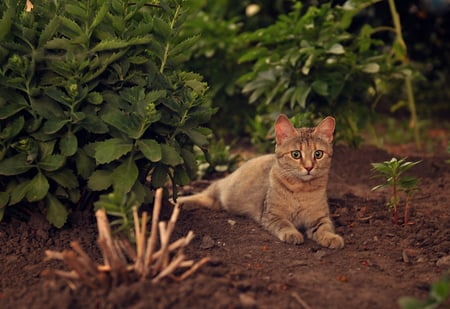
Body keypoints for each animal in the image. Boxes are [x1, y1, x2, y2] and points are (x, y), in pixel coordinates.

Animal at [177, 113, 344, 248]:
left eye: (318, 154)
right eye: (296, 154)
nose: (309, 167)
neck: (301, 189)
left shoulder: (320, 217)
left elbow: (325, 227)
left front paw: (331, 237)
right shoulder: (272, 215)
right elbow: (284, 224)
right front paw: (292, 233)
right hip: (221, 189)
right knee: (203, 194)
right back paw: (180, 202)